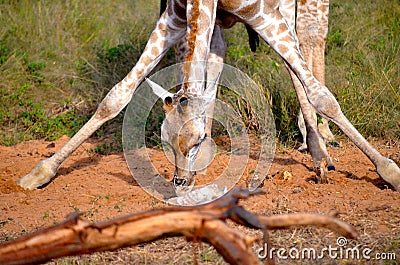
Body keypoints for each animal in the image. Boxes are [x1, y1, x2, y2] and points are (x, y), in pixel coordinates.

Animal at [16, 0, 400, 192]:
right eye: (163, 141)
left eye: (197, 139)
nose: (180, 182)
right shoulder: (173, 17)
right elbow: (116, 97)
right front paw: (39, 173)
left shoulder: (262, 13)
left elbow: (321, 95)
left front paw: (387, 170)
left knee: (309, 42)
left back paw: (321, 147)